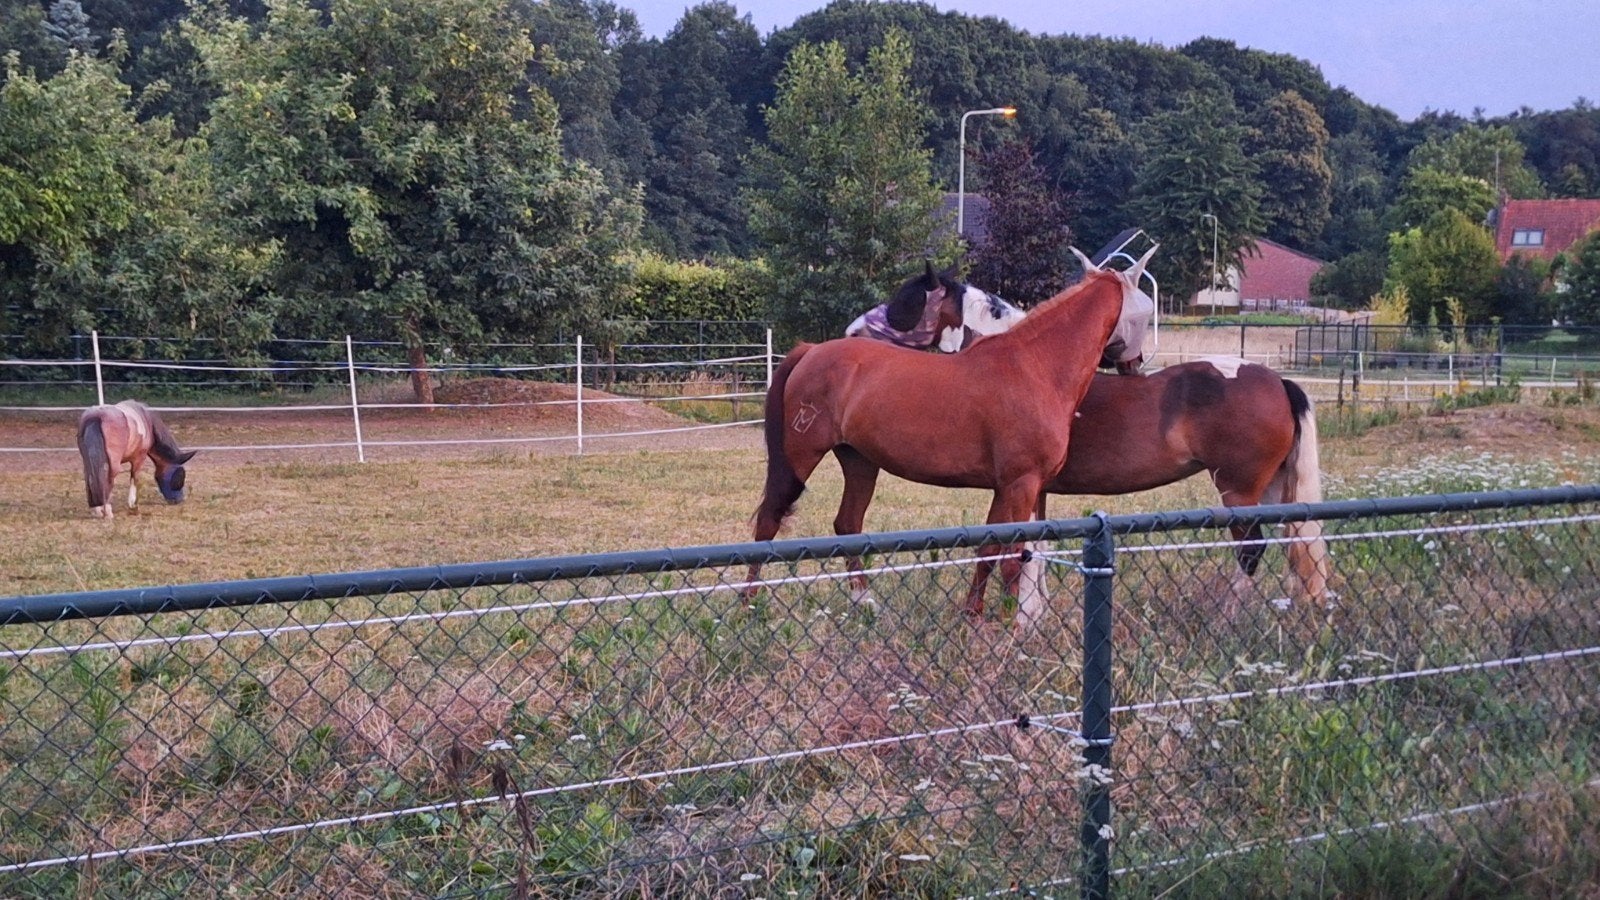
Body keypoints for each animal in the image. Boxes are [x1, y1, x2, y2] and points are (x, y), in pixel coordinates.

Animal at [749, 246, 1158, 629]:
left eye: (905, 300)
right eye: (1145, 310)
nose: (1135, 365)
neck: (1035, 364)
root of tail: (810, 351)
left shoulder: (1010, 488)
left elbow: (989, 551)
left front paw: (973, 615)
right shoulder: (1021, 484)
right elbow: (1012, 559)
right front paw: (1010, 626)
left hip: (859, 462)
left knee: (847, 525)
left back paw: (865, 604)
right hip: (801, 457)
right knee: (769, 521)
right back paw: (750, 607)